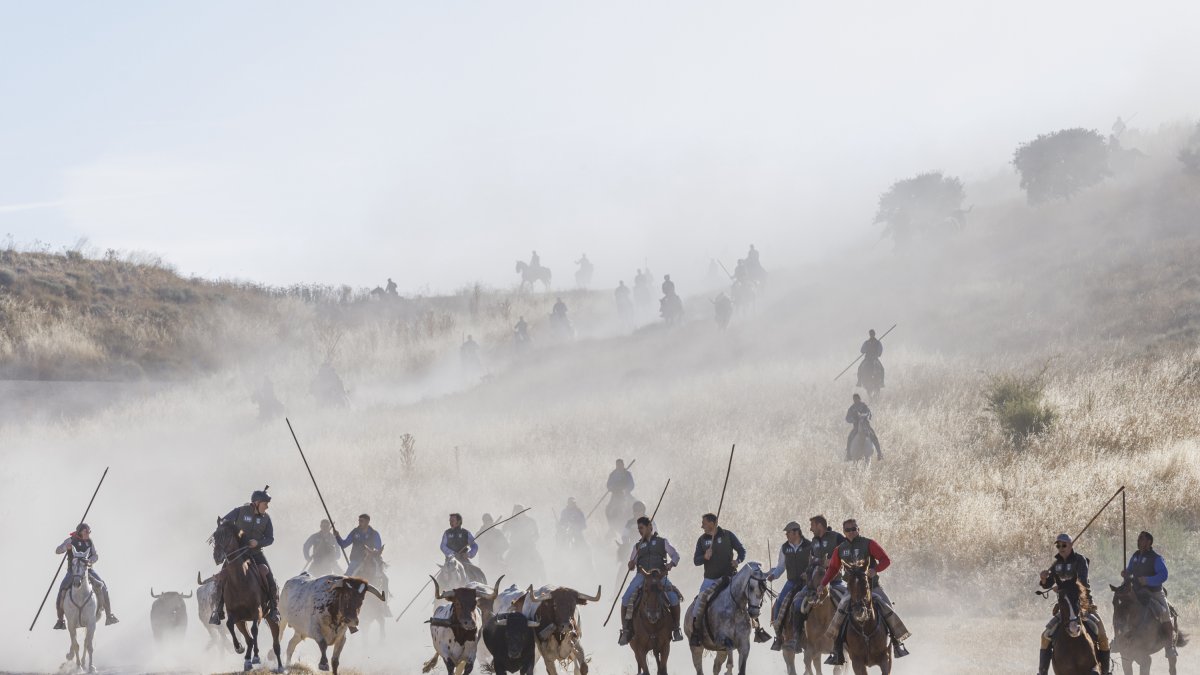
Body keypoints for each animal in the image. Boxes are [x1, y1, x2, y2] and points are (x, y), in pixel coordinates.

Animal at [212, 514, 284, 667]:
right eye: (215, 535)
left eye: (227, 535)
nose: (217, 556)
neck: (240, 581)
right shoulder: (235, 615)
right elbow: (230, 626)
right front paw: (239, 648)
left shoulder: (257, 611)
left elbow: (254, 631)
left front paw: (256, 656)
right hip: (242, 621)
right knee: (249, 638)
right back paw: (246, 659)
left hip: (271, 618)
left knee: (276, 644)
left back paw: (280, 667)